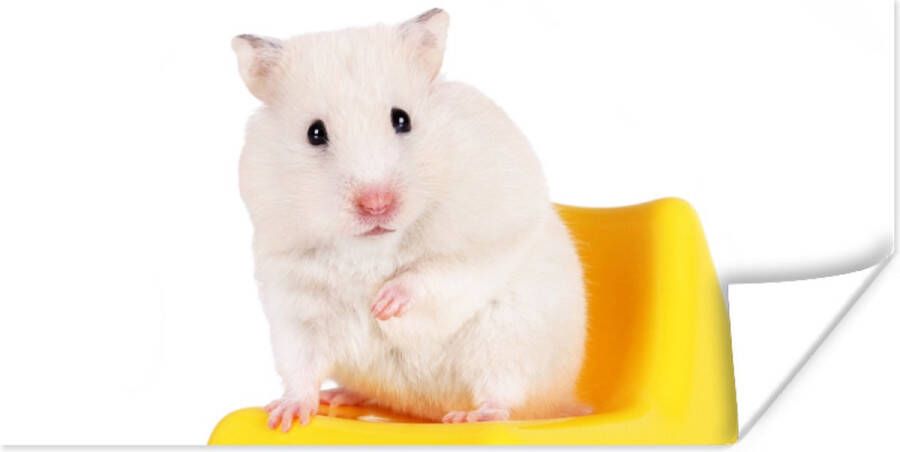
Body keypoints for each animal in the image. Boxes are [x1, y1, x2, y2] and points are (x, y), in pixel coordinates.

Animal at [231, 8, 588, 431]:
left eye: (401, 119)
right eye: (314, 133)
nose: (376, 204)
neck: (371, 246)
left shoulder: (488, 237)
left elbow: (437, 272)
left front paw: (382, 304)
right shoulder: (295, 300)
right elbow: (300, 366)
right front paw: (284, 416)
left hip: (508, 340)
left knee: (505, 396)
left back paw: (469, 416)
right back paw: (340, 396)